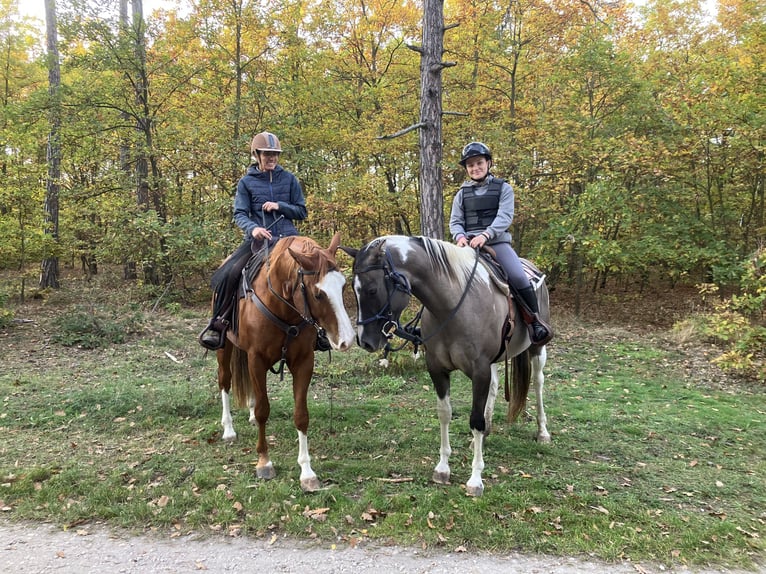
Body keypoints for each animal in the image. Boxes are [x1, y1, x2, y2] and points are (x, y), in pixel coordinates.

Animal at [215, 233, 355, 492]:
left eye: (342, 286)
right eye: (319, 294)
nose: (347, 340)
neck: (281, 305)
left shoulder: (303, 362)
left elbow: (301, 415)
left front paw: (307, 472)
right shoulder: (256, 359)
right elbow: (264, 410)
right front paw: (264, 462)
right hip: (224, 348)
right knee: (225, 382)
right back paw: (228, 429)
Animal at [341, 235, 551, 496]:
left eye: (372, 289)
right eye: (353, 288)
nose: (365, 341)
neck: (453, 306)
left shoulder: (479, 371)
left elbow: (475, 419)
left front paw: (475, 479)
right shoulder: (438, 370)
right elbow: (445, 414)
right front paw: (442, 468)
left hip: (537, 349)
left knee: (538, 383)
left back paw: (543, 432)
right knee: (494, 388)